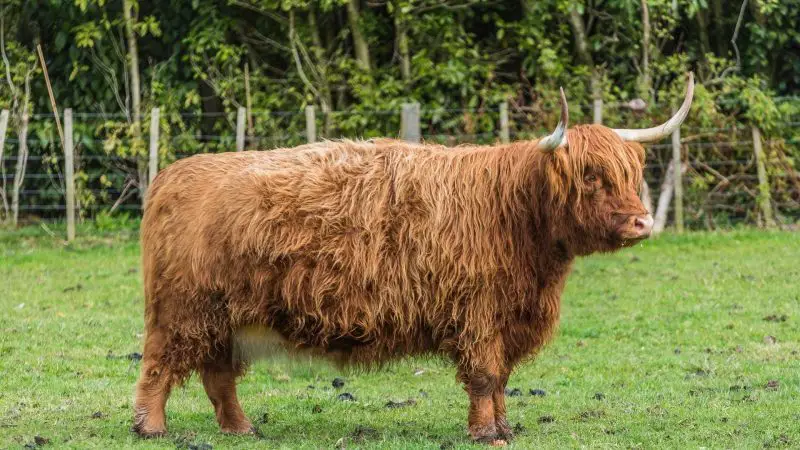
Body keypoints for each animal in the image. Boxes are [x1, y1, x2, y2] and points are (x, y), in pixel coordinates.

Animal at [133, 75, 692, 444]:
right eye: (591, 175)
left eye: (629, 172)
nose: (642, 223)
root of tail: (173, 175)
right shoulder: (477, 314)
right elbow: (484, 376)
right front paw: (487, 433)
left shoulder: (506, 317)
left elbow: (501, 379)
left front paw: (505, 426)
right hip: (184, 308)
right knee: (159, 365)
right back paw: (150, 427)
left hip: (224, 316)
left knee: (218, 374)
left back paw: (241, 428)